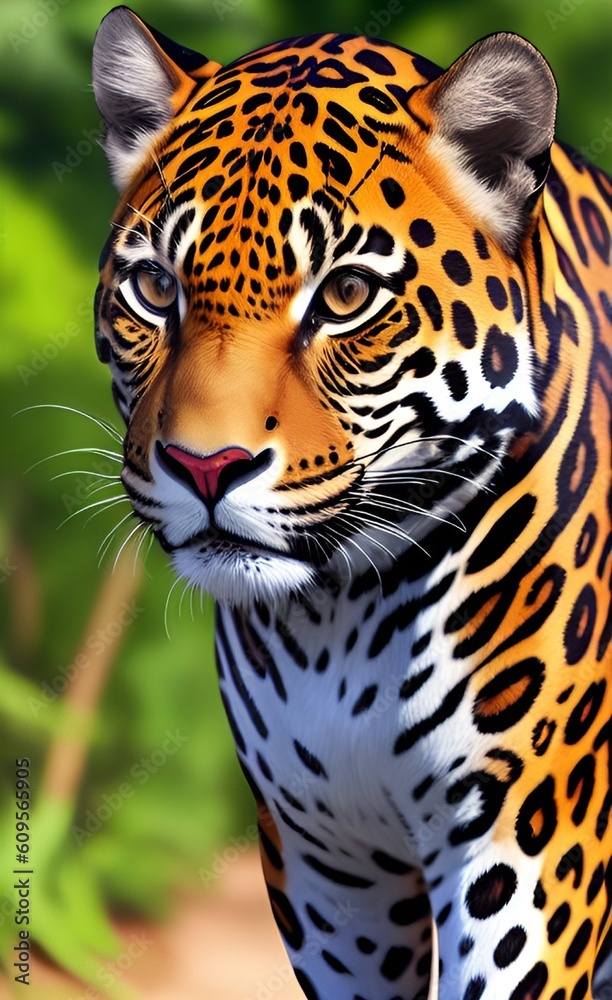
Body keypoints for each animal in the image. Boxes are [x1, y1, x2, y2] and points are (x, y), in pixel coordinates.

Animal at [91, 8, 612, 998]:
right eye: (155, 288)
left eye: (346, 295)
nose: (206, 466)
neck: (338, 621)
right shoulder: (330, 869)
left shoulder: (528, 849)